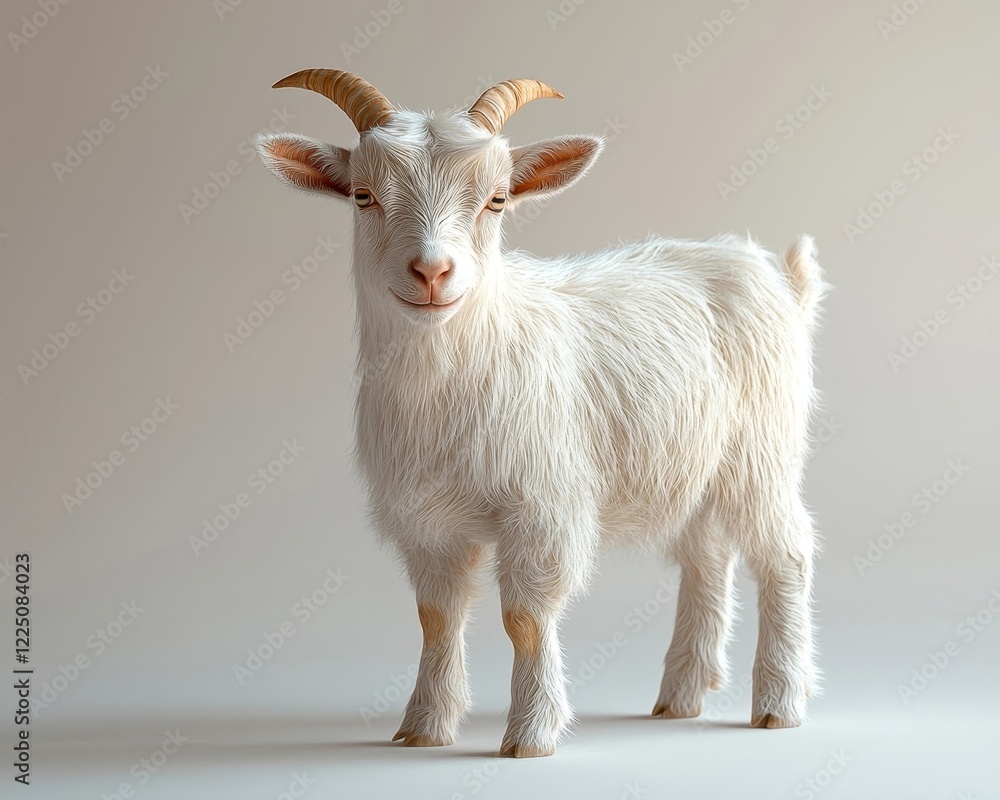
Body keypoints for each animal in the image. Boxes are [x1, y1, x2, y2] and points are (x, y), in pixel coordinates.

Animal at [255, 69, 826, 758]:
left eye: (498, 200)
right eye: (363, 196)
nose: (432, 271)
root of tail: (776, 278)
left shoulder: (543, 504)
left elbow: (525, 618)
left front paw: (530, 733)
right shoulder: (426, 519)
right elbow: (436, 617)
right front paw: (424, 726)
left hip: (762, 450)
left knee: (785, 553)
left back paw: (778, 702)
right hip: (690, 465)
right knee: (706, 557)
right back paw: (681, 695)